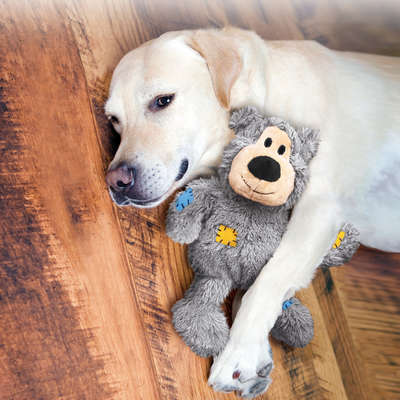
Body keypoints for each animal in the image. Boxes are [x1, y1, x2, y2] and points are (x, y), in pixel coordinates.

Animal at [105, 27, 400, 397]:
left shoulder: (320, 205)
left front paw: (239, 354)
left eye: (162, 101)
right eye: (114, 120)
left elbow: (268, 279)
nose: (116, 181)